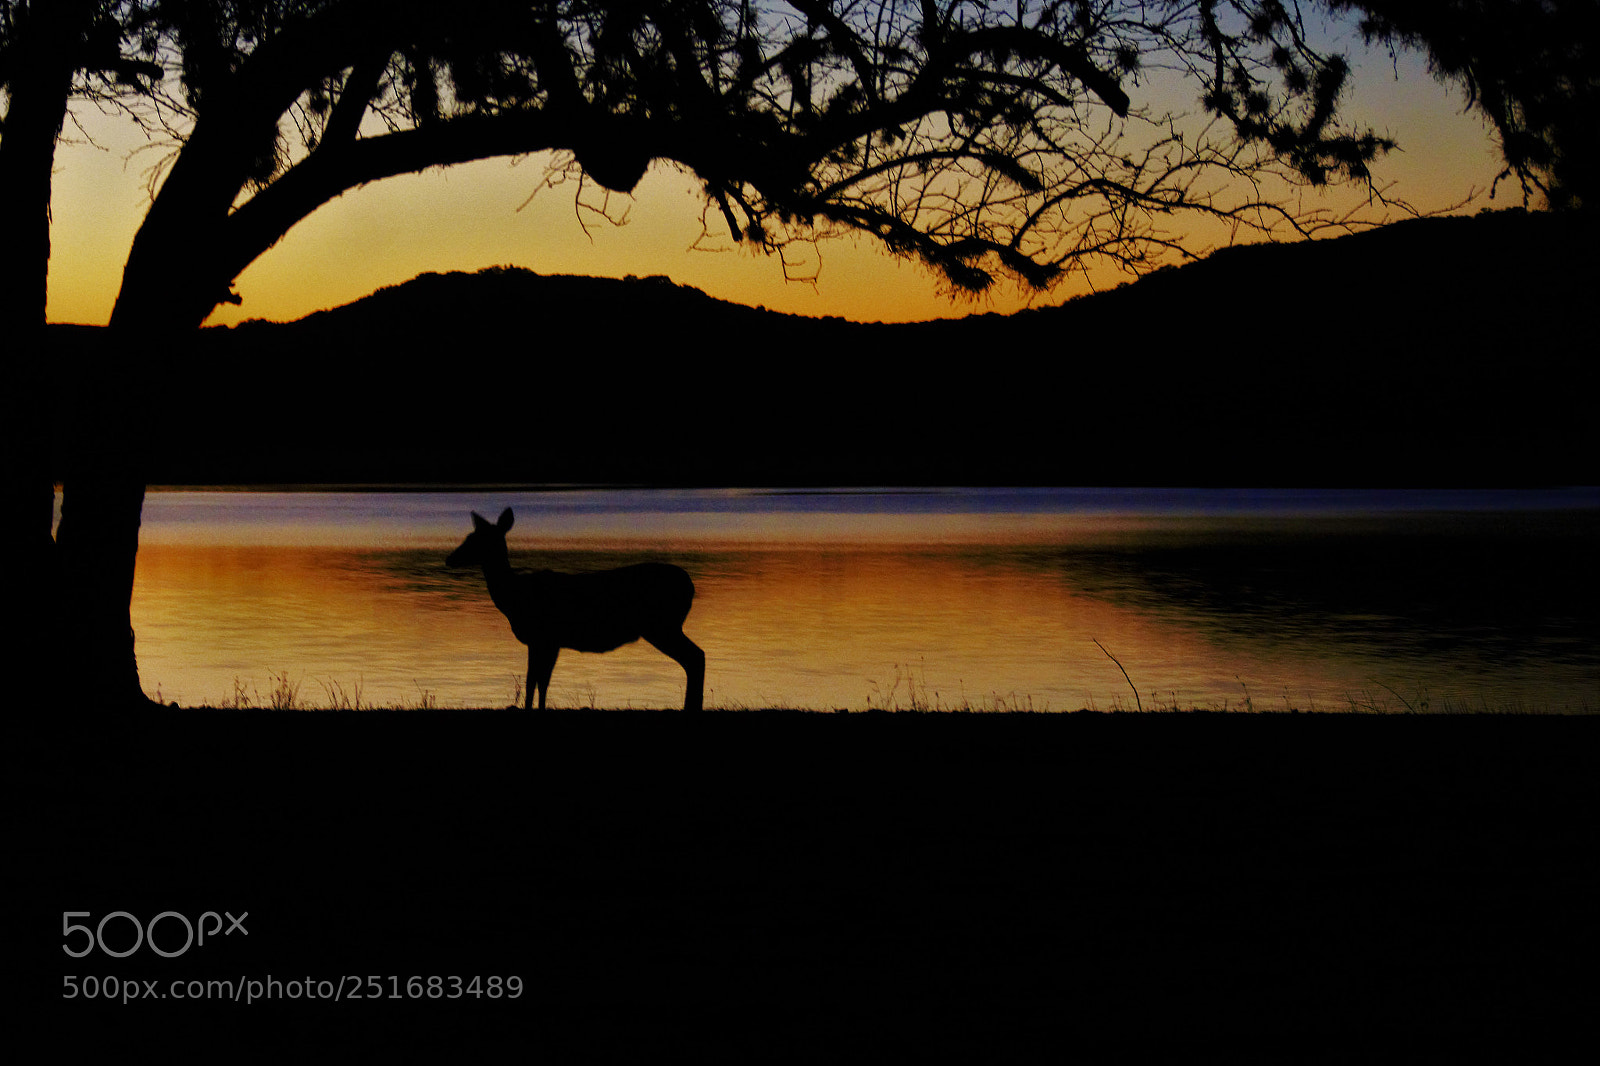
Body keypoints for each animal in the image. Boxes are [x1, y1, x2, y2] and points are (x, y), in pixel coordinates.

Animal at [446, 508, 704, 711]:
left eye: (475, 539)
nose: (449, 559)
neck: (514, 597)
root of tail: (690, 586)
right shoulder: (546, 641)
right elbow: (538, 680)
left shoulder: (544, 638)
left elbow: (535, 680)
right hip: (665, 626)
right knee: (695, 658)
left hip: (662, 626)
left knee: (696, 657)